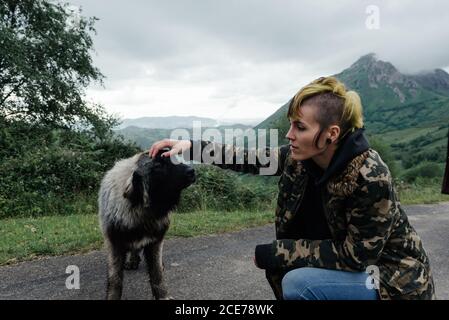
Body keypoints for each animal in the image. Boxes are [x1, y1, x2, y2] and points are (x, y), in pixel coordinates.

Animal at [98, 150, 194, 300]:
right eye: (159, 165)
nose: (192, 171)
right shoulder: (114, 244)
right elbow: (115, 279)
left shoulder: (155, 241)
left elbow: (157, 274)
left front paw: (163, 296)